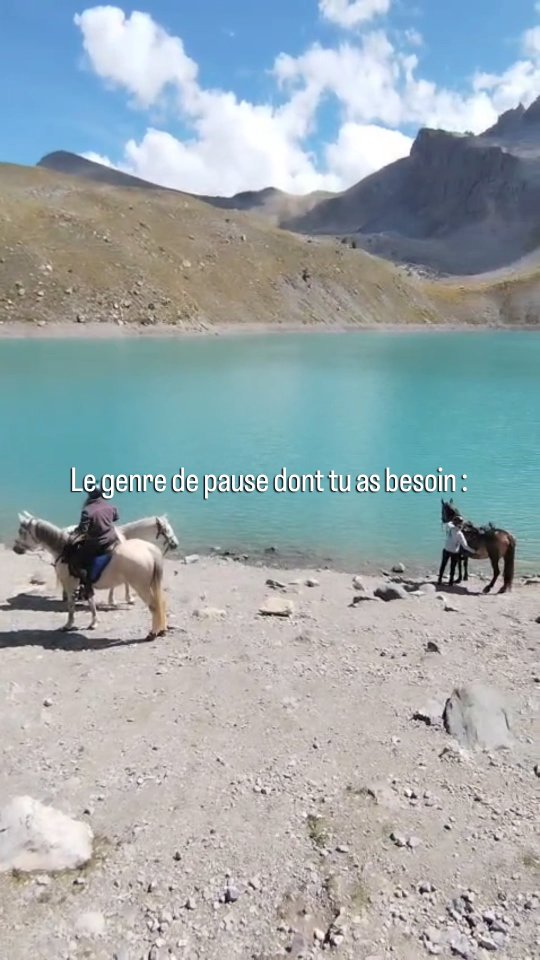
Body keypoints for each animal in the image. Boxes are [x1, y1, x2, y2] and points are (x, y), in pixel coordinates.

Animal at [13, 514, 168, 639]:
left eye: (21, 532)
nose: (15, 549)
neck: (66, 551)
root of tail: (149, 549)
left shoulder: (70, 585)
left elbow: (71, 606)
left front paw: (68, 625)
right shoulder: (86, 584)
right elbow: (91, 603)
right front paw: (94, 622)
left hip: (141, 587)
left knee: (154, 606)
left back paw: (153, 633)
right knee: (160, 604)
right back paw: (161, 630)